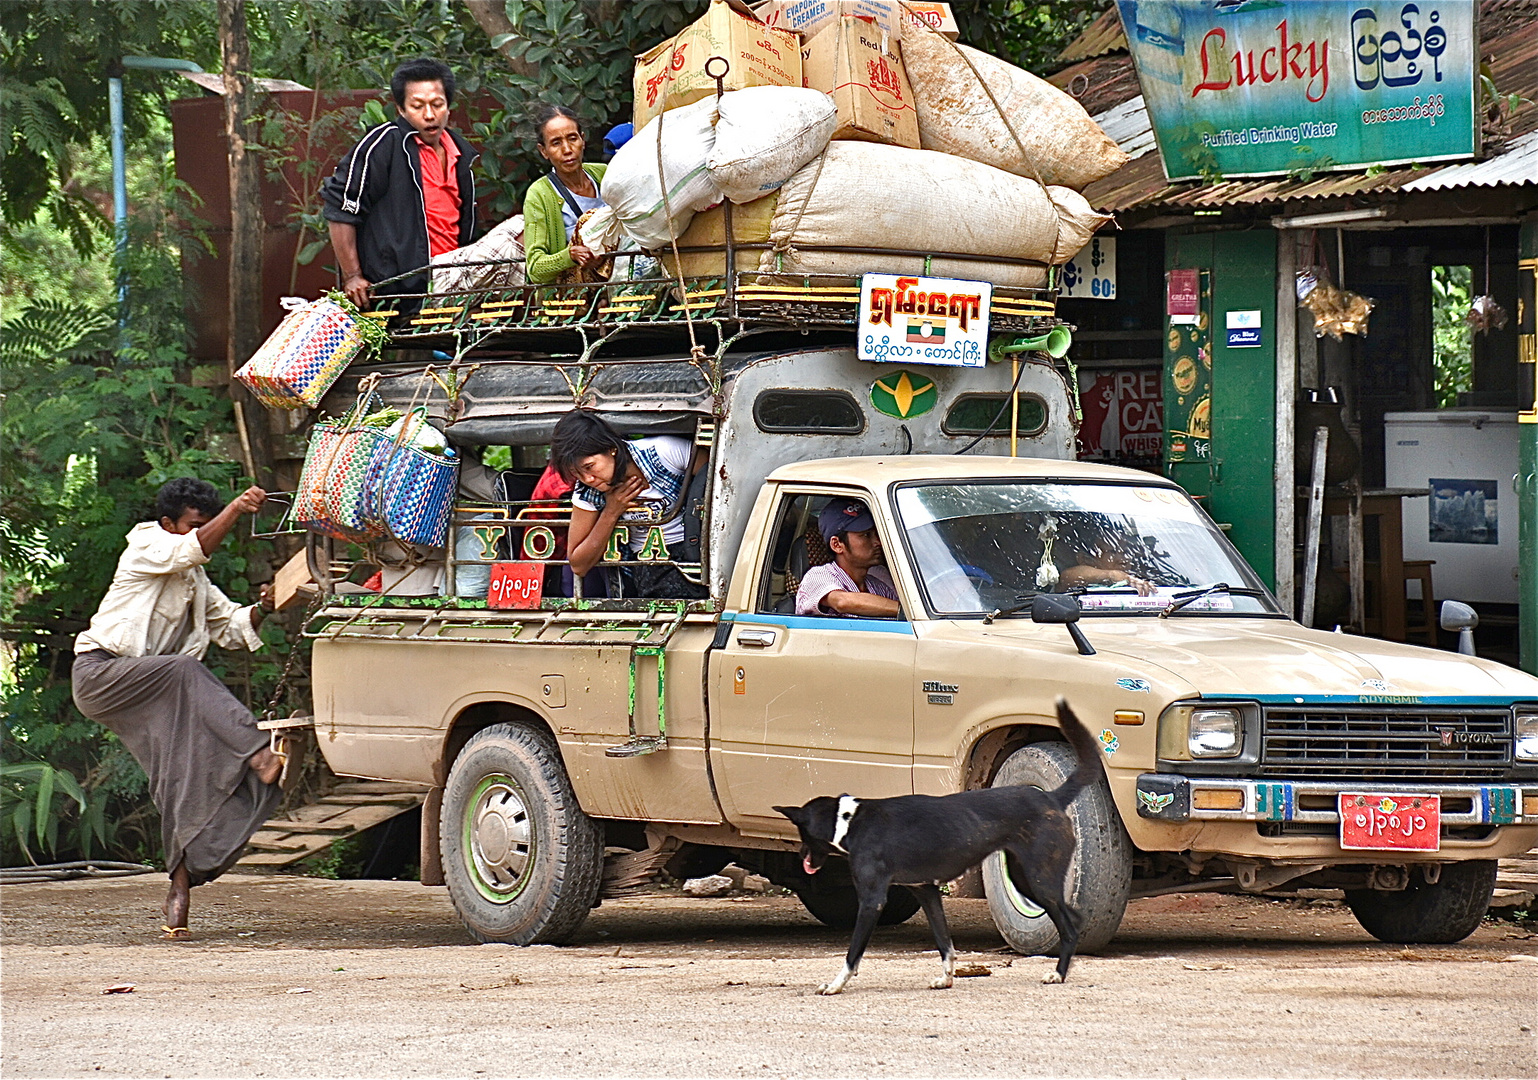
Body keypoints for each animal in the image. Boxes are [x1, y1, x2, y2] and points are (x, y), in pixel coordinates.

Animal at [781, 701, 1107, 996]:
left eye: (802, 833)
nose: (800, 857)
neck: (851, 820)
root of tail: (1051, 798)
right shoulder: (927, 892)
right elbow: (944, 943)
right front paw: (947, 978)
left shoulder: (872, 900)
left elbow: (853, 954)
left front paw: (836, 984)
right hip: (1026, 879)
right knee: (1075, 919)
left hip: (1039, 880)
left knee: (1069, 926)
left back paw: (1058, 974)